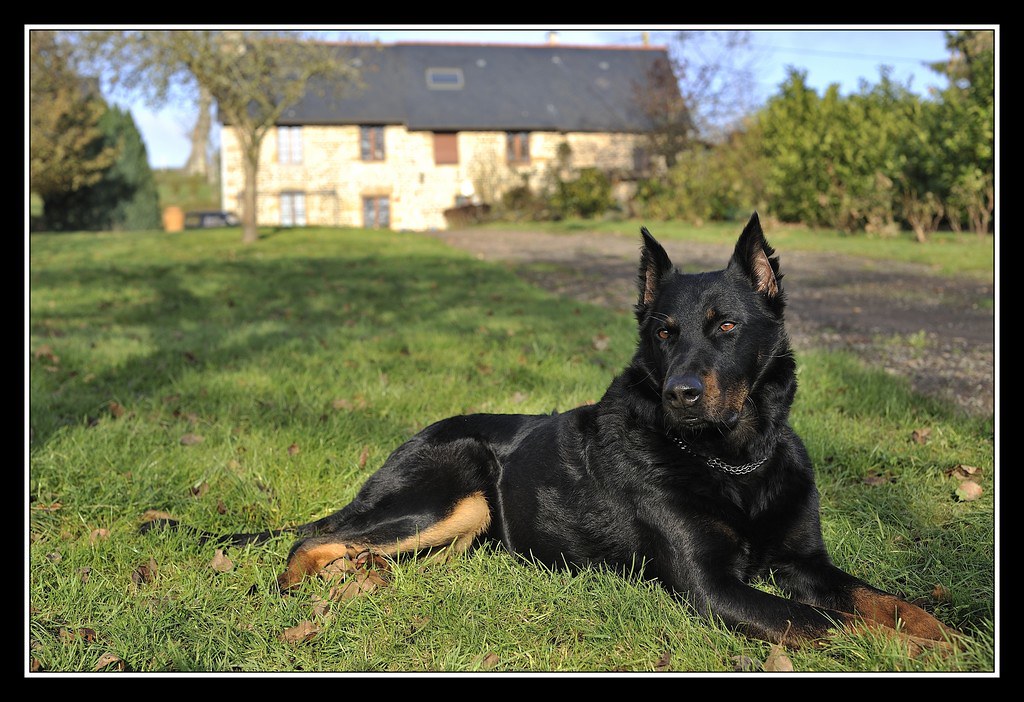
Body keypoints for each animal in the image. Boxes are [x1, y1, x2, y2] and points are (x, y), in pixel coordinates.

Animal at [151, 215, 950, 654]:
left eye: (725, 327)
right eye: (664, 333)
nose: (680, 394)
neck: (732, 461)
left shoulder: (807, 563)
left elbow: (886, 603)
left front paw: (948, 635)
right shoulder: (712, 587)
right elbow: (837, 627)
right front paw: (917, 655)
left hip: (469, 521)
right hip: (447, 492)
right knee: (311, 539)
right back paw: (319, 585)